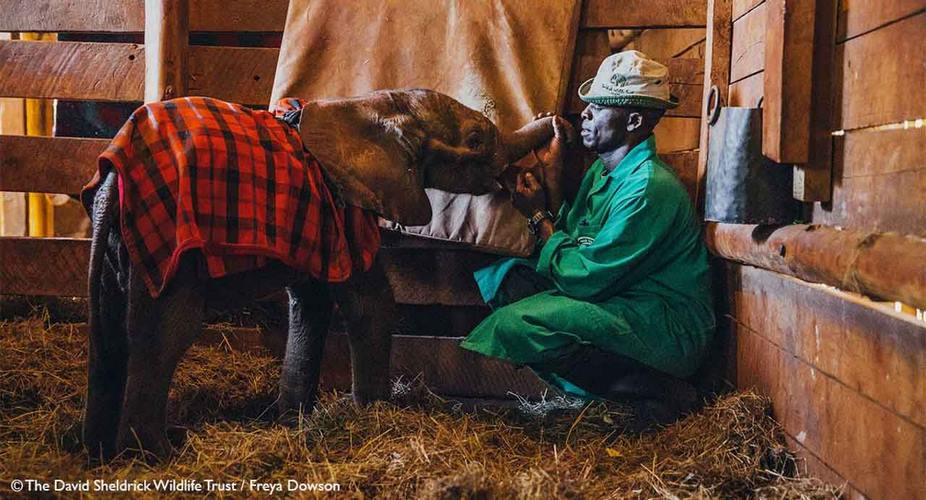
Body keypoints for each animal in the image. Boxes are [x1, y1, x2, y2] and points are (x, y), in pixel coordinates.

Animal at [81, 89, 560, 458]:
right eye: (476, 140)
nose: (554, 120)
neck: (379, 103)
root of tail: (112, 177)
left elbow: (311, 303)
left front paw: (292, 420)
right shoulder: (347, 206)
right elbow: (369, 303)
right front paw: (374, 413)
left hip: (119, 246)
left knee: (109, 330)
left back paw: (98, 451)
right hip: (170, 250)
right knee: (164, 333)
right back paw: (155, 454)